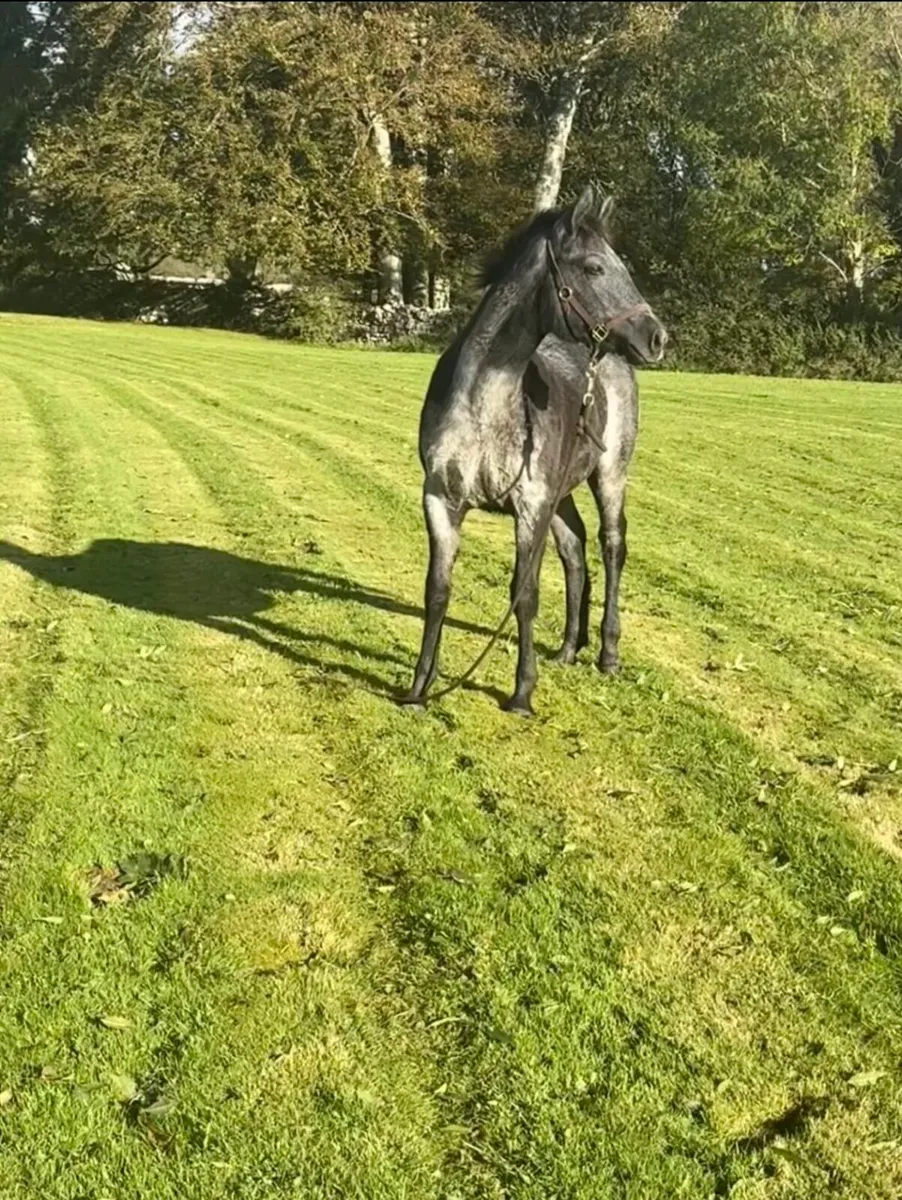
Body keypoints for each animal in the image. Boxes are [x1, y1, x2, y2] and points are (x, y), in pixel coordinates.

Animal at [400, 185, 667, 716]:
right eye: (594, 267)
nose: (656, 337)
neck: (483, 407)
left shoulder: (530, 507)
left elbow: (524, 596)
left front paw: (522, 693)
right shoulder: (441, 499)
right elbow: (437, 591)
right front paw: (420, 689)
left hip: (609, 475)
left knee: (611, 545)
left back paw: (606, 652)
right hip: (561, 496)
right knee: (575, 549)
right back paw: (567, 648)